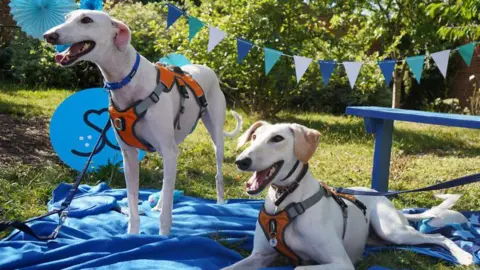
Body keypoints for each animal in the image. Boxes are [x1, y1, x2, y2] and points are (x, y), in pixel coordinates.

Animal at [43, 9, 242, 235]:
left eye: (86, 20)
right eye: (66, 18)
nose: (49, 35)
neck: (128, 79)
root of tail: (206, 68)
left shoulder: (167, 150)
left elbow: (166, 214)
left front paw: (163, 237)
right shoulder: (129, 157)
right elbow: (133, 203)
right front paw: (132, 235)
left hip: (215, 136)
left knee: (216, 173)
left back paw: (220, 202)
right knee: (167, 182)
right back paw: (159, 204)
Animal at [224, 121, 472, 268]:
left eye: (277, 139)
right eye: (254, 137)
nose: (240, 161)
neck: (284, 201)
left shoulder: (340, 262)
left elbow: (299, 266)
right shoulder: (260, 255)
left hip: (393, 231)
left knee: (439, 238)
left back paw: (464, 256)